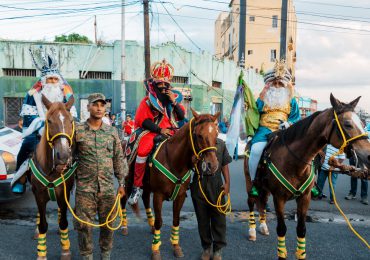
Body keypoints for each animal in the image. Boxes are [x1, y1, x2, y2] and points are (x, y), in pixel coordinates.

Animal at [30, 96, 75, 260]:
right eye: (49, 121)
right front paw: (41, 253)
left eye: (71, 120)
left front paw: (66, 250)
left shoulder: (64, 193)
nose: (63, 156)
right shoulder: (39, 195)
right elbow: (43, 224)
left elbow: (63, 222)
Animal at [121, 108, 220, 258]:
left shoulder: (180, 196)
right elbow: (159, 222)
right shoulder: (158, 195)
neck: (174, 161)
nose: (212, 165)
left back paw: (150, 225)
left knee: (145, 199)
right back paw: (124, 226)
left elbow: (176, 220)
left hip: (147, 185)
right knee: (123, 199)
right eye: (199, 135)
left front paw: (176, 247)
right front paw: (155, 249)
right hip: (127, 180)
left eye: (216, 134)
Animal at [244, 94, 370, 258]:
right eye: (347, 124)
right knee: (252, 203)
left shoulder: (305, 198)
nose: (368, 154)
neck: (294, 162)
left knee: (262, 203)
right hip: (250, 182)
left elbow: (301, 230)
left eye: (362, 123)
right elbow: (282, 229)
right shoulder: (279, 199)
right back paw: (252, 231)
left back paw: (263, 226)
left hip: (265, 188)